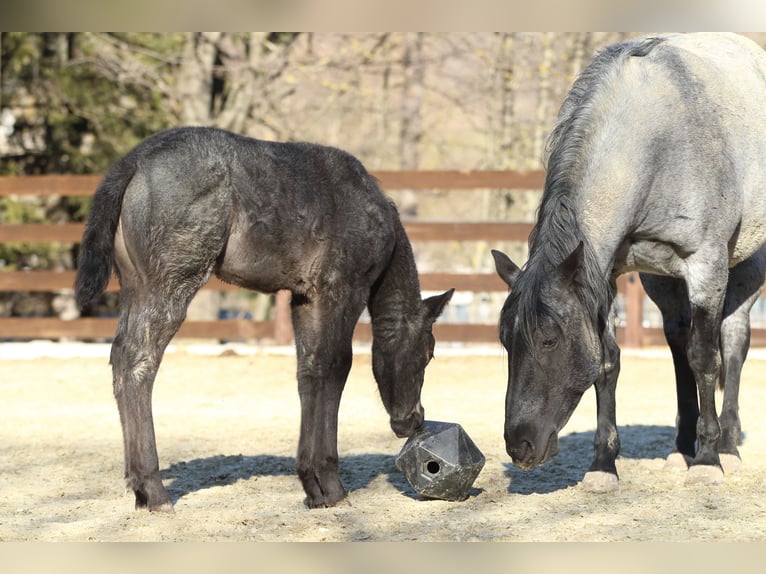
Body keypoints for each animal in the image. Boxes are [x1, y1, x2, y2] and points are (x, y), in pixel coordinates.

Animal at [75, 127, 452, 512]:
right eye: (428, 354)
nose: (412, 420)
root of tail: (134, 161)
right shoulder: (343, 287)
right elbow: (336, 367)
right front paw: (331, 483)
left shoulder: (305, 296)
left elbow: (310, 370)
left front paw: (313, 485)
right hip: (170, 283)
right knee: (139, 359)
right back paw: (154, 489)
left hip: (135, 285)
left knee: (120, 356)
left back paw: (139, 488)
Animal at [492, 31, 766, 492]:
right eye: (506, 341)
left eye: (549, 340)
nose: (520, 446)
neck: (656, 142)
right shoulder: (605, 274)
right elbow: (608, 362)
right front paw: (603, 465)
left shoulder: (707, 265)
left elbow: (706, 358)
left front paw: (708, 460)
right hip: (664, 283)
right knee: (678, 342)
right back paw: (681, 446)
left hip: (743, 271)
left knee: (732, 343)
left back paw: (727, 446)